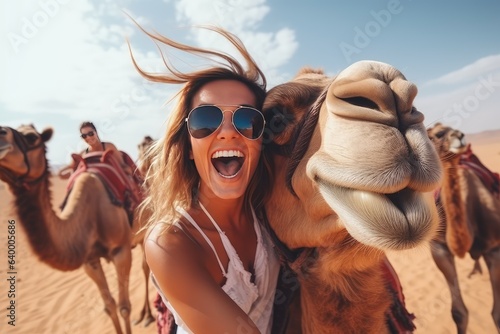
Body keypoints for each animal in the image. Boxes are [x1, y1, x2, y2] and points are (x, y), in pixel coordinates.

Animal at [0, 124, 152, 332]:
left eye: (31, 137)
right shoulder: (90, 261)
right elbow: (109, 305)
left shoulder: (121, 251)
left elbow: (124, 307)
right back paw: (144, 315)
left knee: (146, 268)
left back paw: (148, 316)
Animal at [426, 123, 500, 334]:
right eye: (437, 134)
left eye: (453, 128)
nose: (459, 136)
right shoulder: (439, 249)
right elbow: (459, 313)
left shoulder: (494, 249)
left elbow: (497, 314)